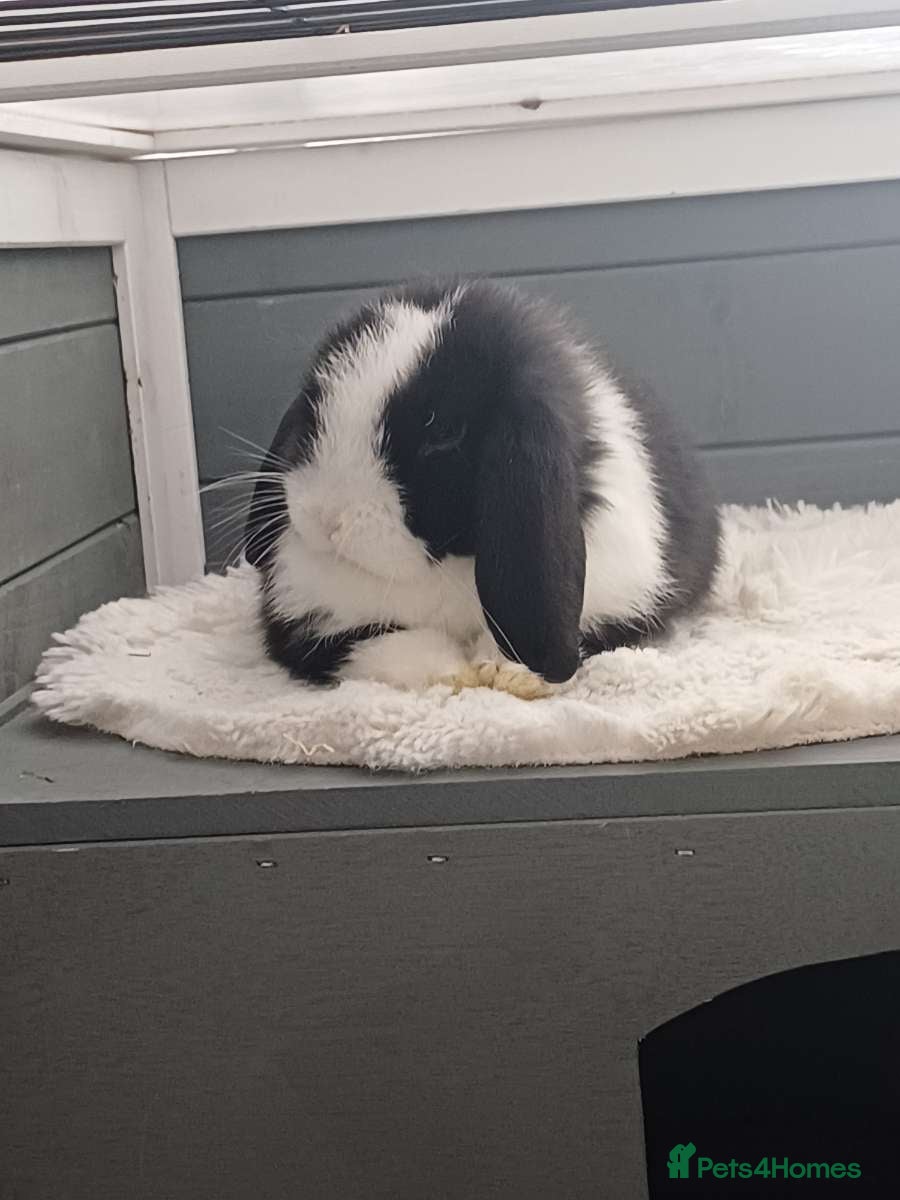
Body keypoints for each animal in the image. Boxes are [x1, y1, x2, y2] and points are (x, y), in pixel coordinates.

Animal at [243, 278, 721, 699]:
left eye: (444, 432)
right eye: (315, 407)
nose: (325, 517)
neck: (449, 567)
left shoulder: (622, 600)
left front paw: (508, 672)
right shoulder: (304, 629)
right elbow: (376, 644)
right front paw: (452, 672)